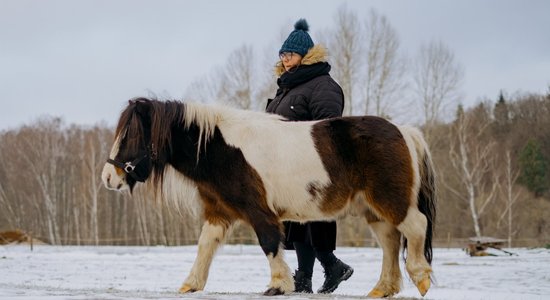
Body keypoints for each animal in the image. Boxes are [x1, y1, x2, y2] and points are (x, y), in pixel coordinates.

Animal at [101, 98, 438, 298]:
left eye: (131, 135)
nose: (108, 177)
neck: (221, 148)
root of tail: (404, 131)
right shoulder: (219, 212)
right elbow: (205, 245)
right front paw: (191, 284)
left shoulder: (259, 211)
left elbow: (269, 243)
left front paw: (278, 284)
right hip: (374, 210)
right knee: (391, 242)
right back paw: (383, 289)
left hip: (390, 202)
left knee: (415, 228)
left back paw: (420, 278)